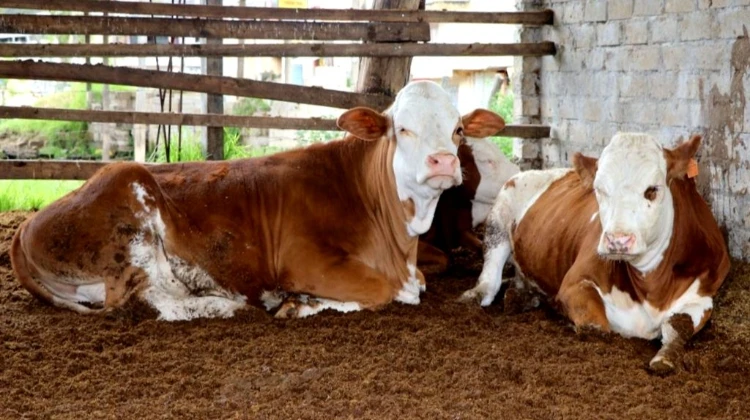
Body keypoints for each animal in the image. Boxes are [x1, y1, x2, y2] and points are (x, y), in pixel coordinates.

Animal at [10, 80, 506, 320]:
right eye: (402, 128)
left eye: (458, 129)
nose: (443, 162)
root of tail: (25, 227)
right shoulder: (304, 259)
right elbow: (391, 291)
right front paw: (297, 303)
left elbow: (413, 285)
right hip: (129, 200)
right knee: (144, 300)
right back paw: (225, 304)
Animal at [462, 133, 732, 372]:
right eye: (599, 190)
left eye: (652, 190)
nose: (617, 240)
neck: (652, 288)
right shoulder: (574, 283)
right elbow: (596, 328)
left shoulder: (704, 296)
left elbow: (678, 327)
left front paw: (664, 357)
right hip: (500, 213)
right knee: (491, 272)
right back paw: (479, 295)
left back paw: (522, 296)